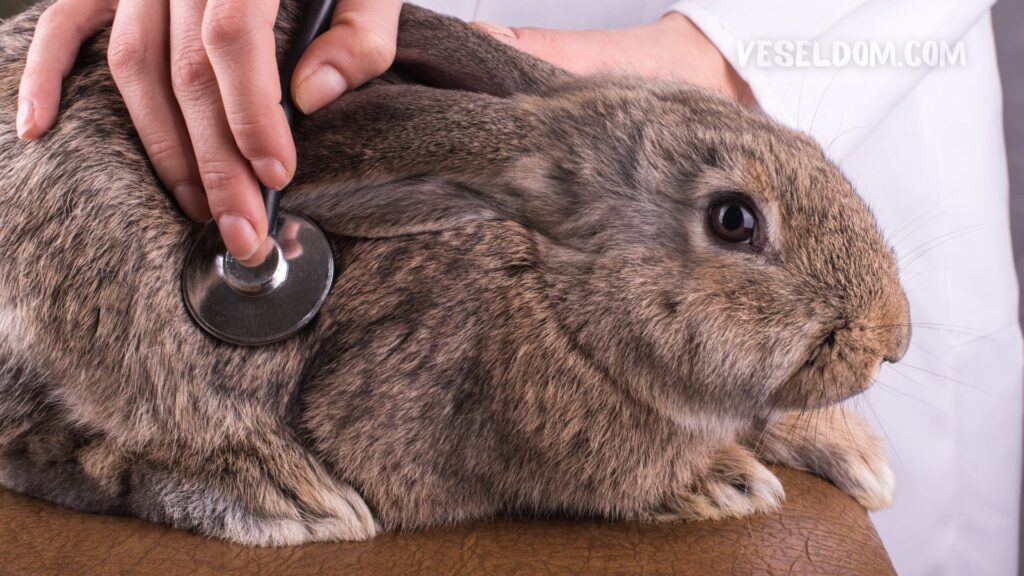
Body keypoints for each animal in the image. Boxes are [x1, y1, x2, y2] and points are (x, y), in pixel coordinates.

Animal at [0, 1, 909, 545]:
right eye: (735, 220)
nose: (891, 339)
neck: (557, 294)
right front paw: (725, 481)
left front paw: (858, 456)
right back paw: (286, 498)